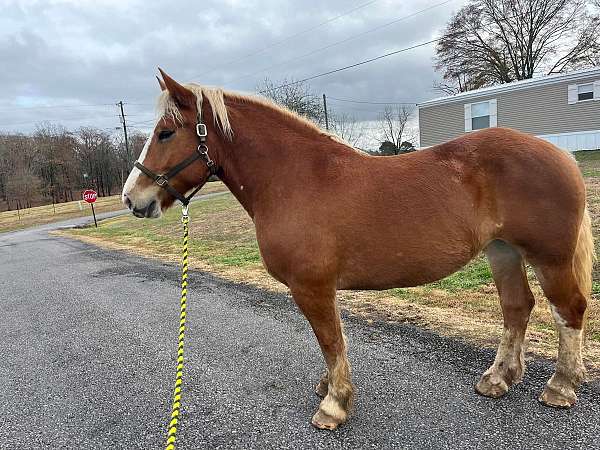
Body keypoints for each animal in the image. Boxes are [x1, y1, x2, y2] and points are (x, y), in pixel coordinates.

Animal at [123, 68, 596, 430]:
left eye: (165, 133)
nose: (132, 199)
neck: (296, 178)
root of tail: (560, 155)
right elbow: (329, 343)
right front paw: (328, 387)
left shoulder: (312, 287)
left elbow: (331, 340)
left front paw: (334, 405)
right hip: (502, 251)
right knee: (517, 308)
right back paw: (498, 379)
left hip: (549, 258)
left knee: (568, 310)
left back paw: (560, 387)